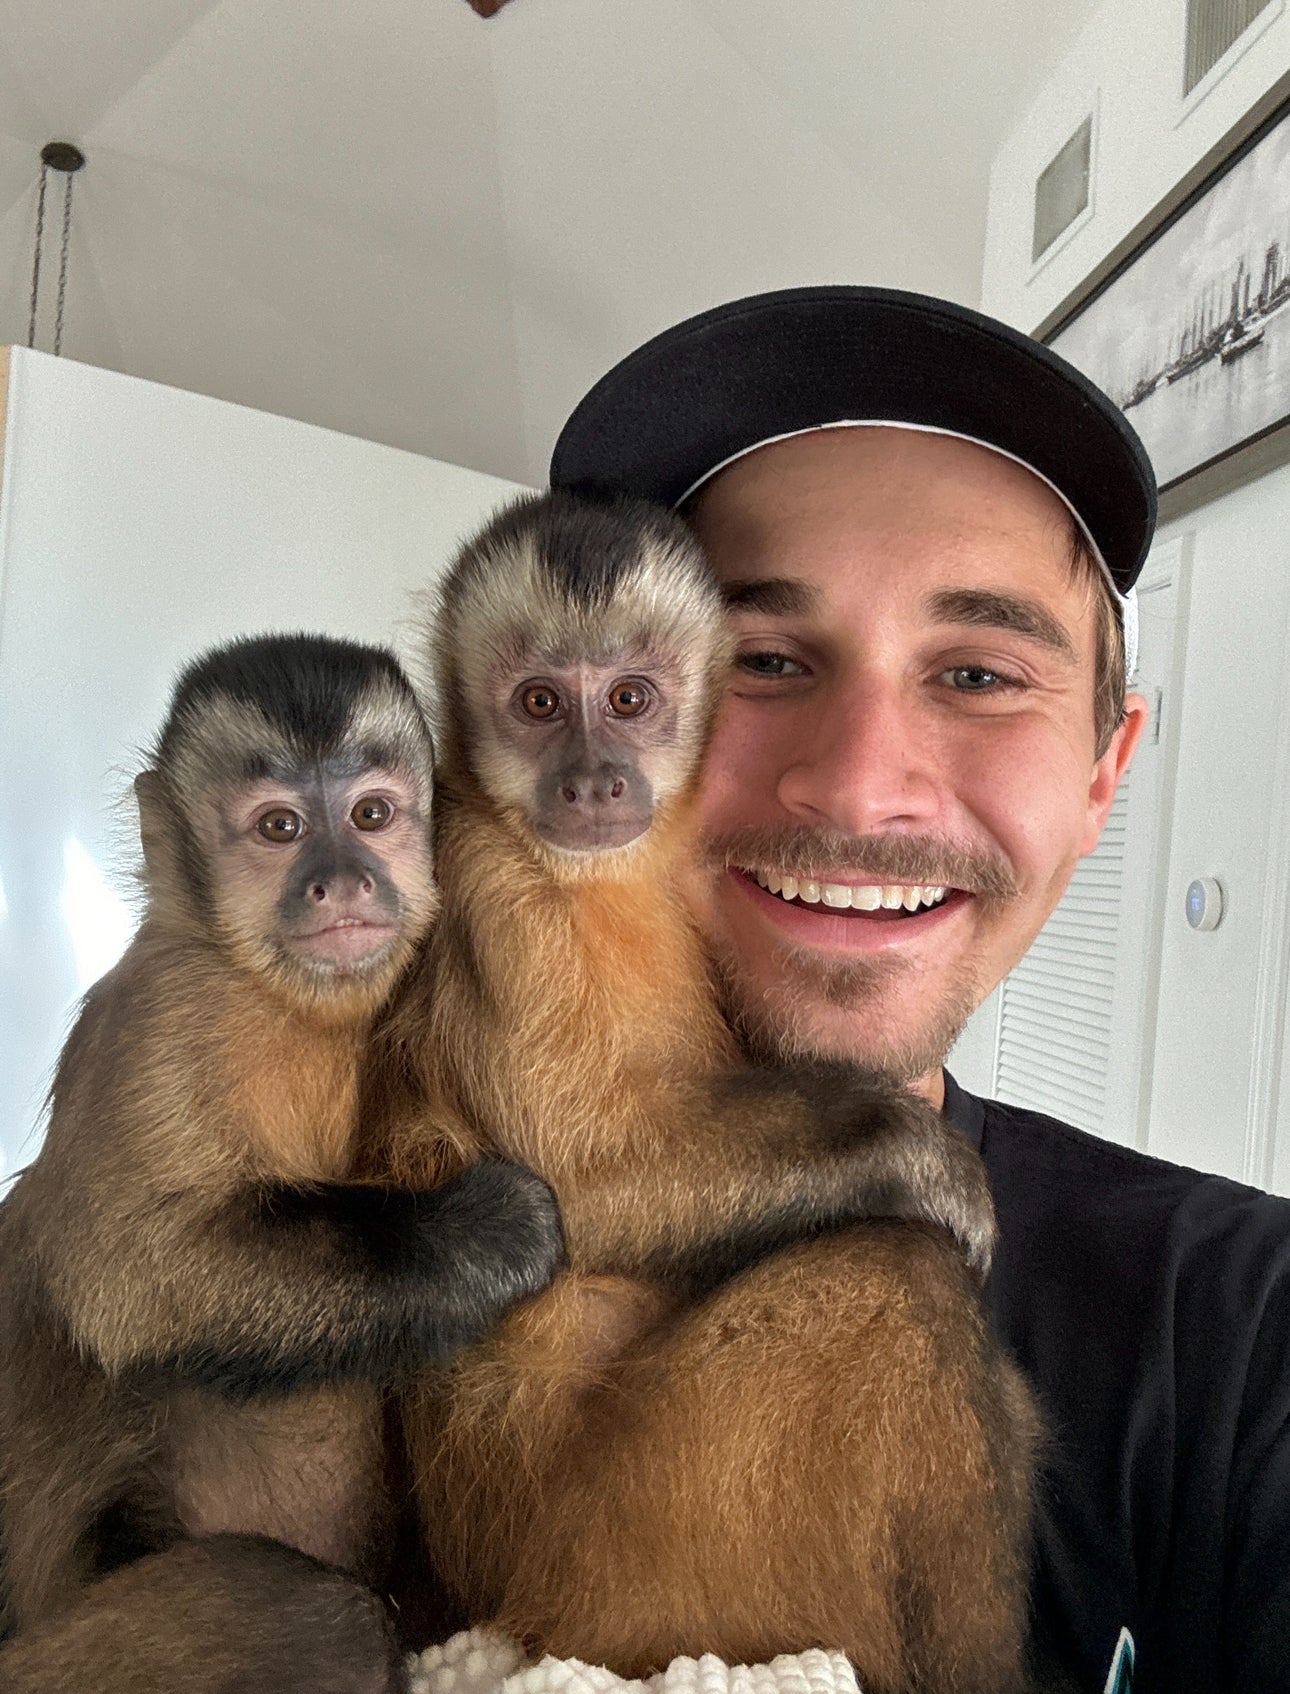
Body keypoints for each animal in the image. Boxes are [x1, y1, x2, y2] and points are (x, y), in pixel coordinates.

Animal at [0, 632, 564, 1686]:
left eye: (372, 815)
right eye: (278, 827)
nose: (340, 881)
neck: (284, 1003)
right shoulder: (166, 1015)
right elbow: (130, 1271)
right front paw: (486, 1234)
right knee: (323, 1619)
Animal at [367, 493, 1042, 1694]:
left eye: (630, 699)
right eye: (540, 703)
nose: (593, 778)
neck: (602, 872)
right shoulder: (494, 890)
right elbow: (571, 1191)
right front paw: (922, 1161)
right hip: (626, 1567)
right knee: (903, 1280)